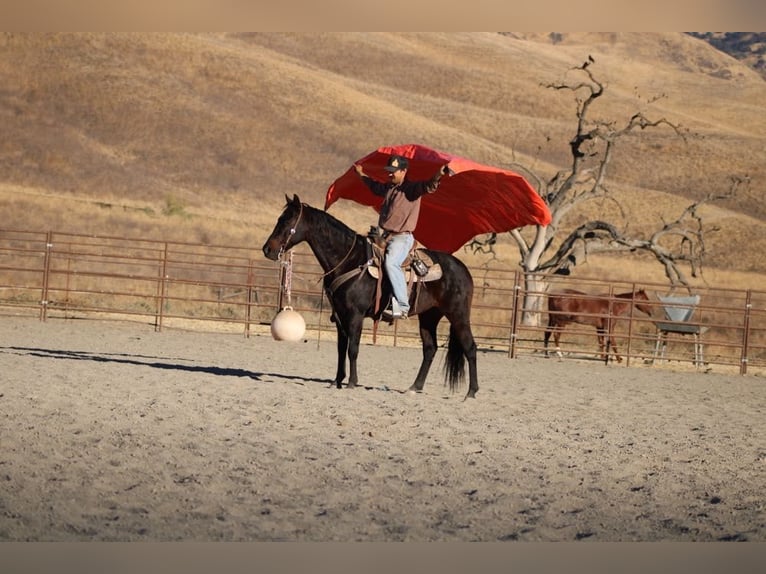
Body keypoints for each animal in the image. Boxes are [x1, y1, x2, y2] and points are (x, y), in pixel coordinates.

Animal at [262, 194, 479, 399]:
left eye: (287, 222)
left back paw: (471, 392)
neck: (349, 261)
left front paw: (352, 382)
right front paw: (337, 381)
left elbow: (353, 348)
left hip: (458, 315)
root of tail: (463, 269)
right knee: (429, 349)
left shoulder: (355, 315)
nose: (267, 249)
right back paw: (414, 387)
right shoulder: (340, 316)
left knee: (470, 347)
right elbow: (341, 348)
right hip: (429, 316)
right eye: (279, 219)